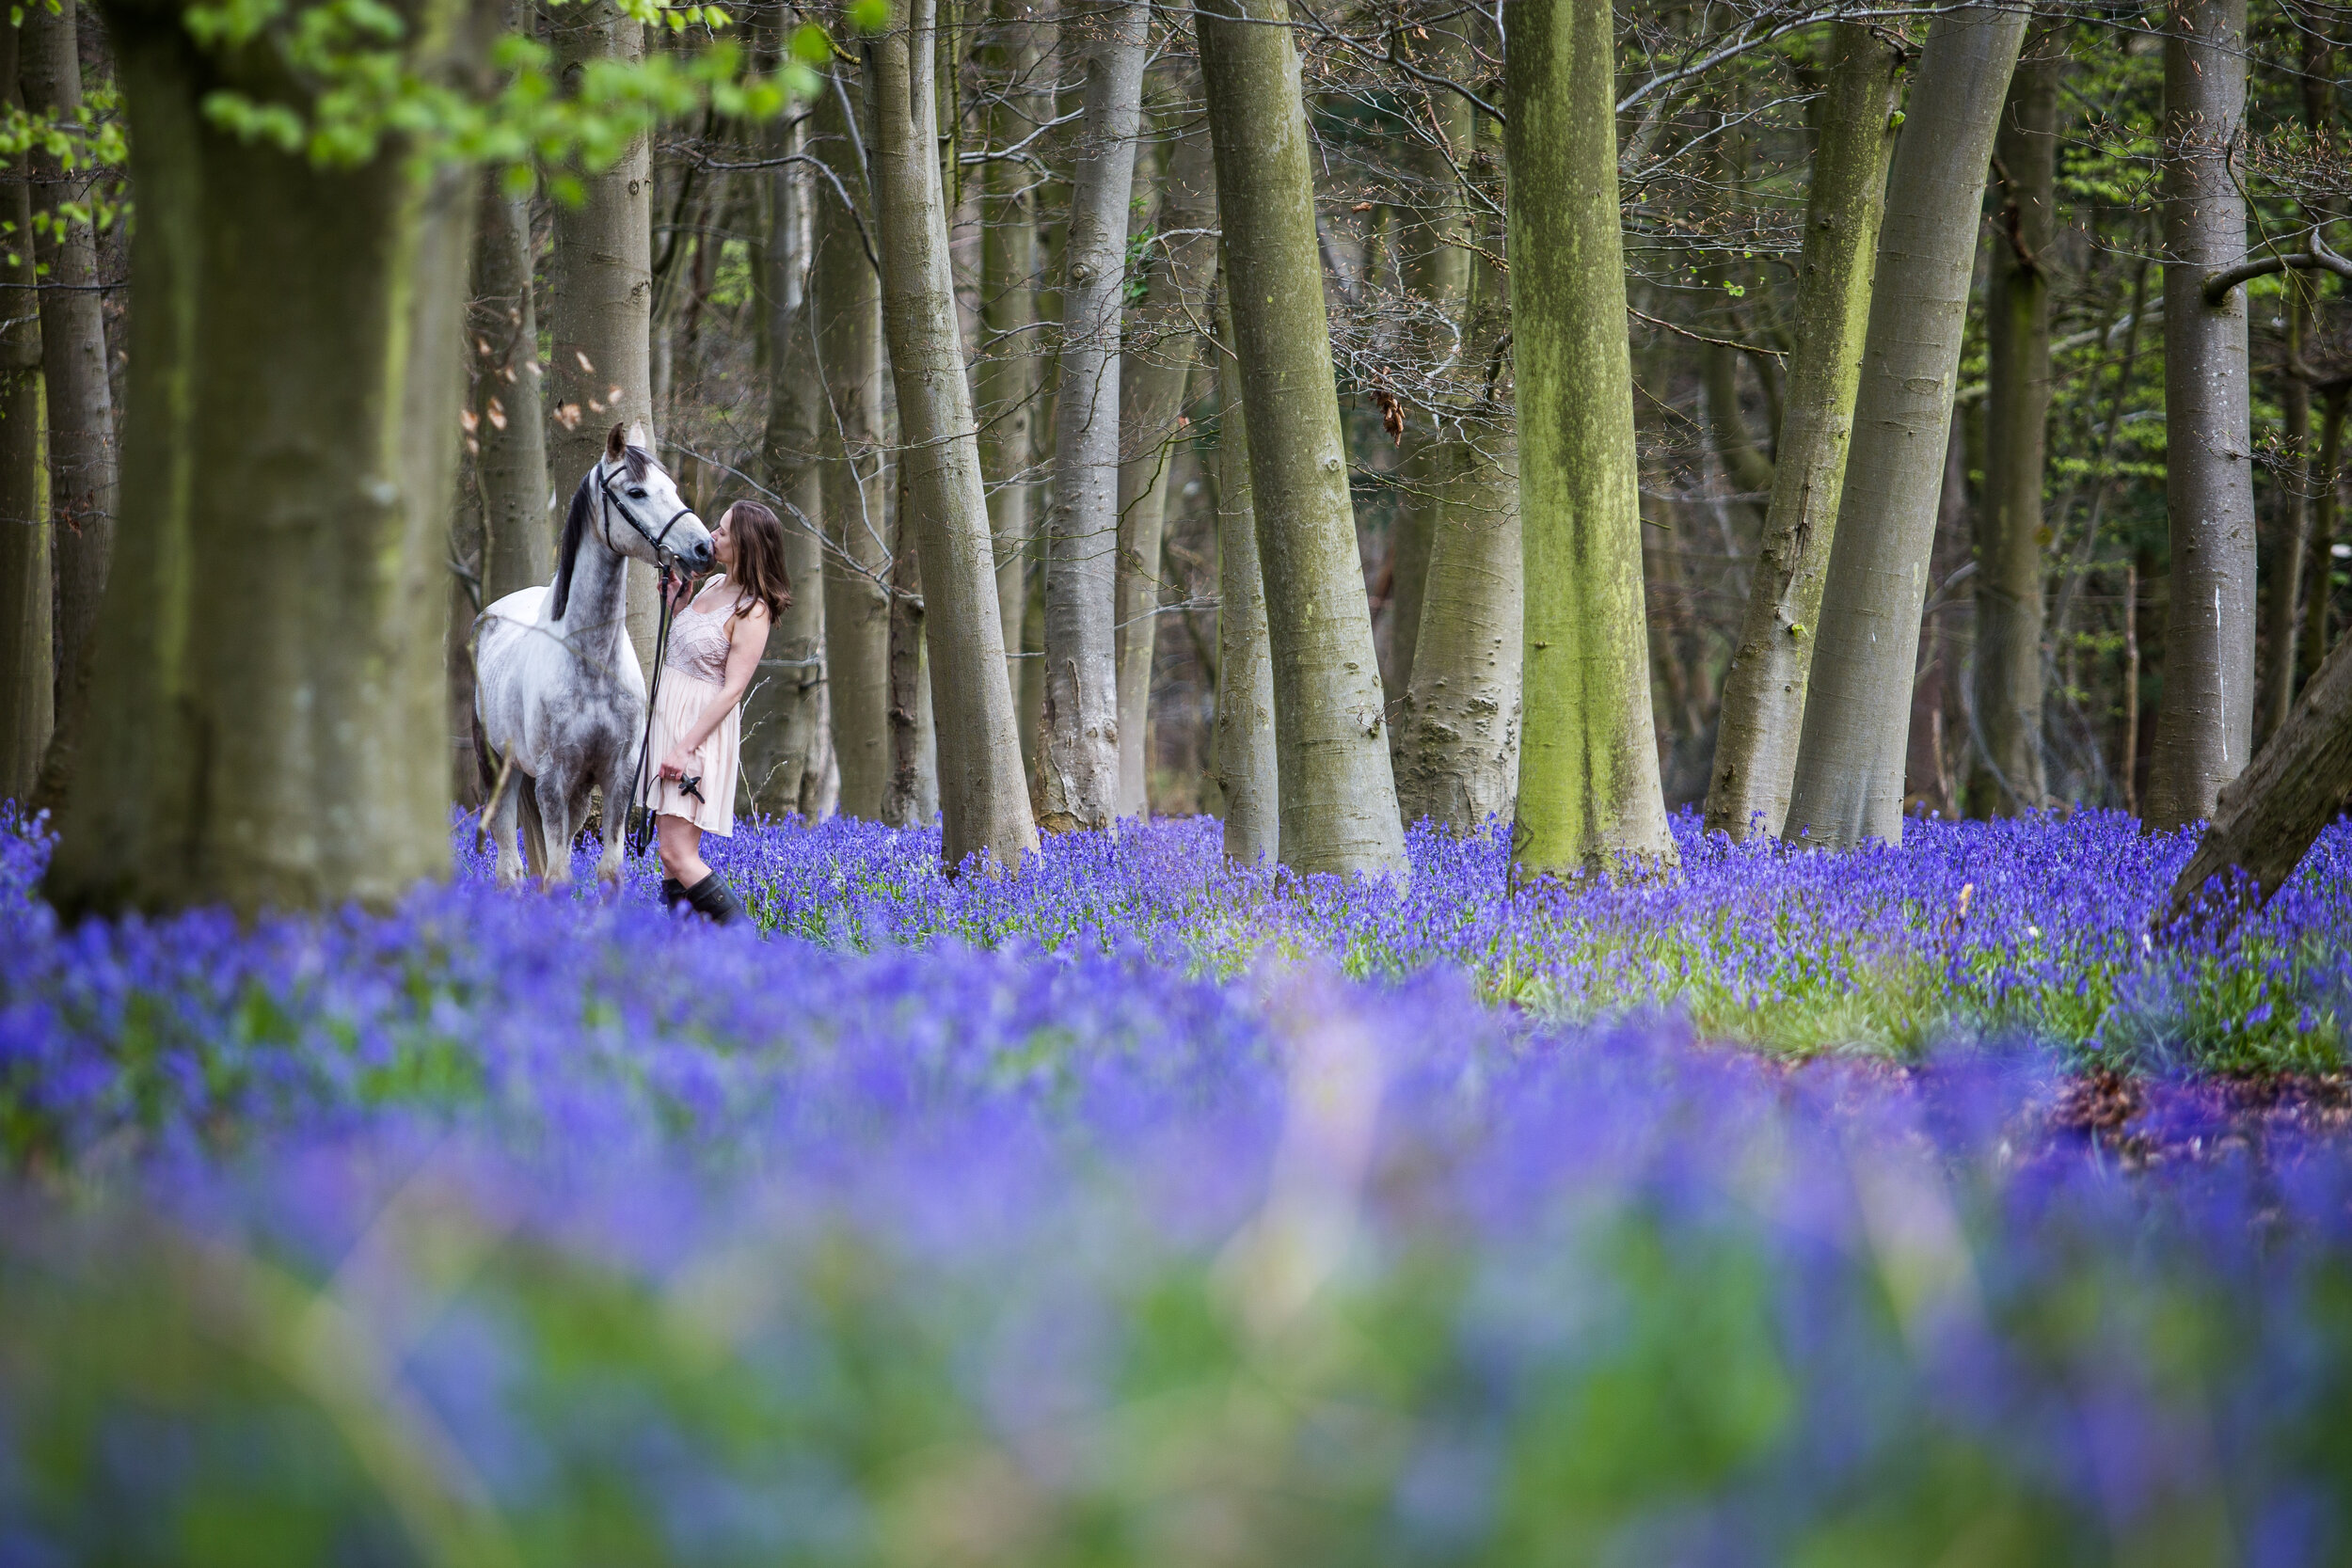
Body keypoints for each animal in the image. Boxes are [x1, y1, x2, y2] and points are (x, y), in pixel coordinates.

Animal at [468, 420, 706, 883]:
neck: (592, 663)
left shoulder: (617, 776)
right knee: (510, 870)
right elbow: (558, 875)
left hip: (577, 794)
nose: (703, 547)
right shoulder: (552, 781)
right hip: (500, 773)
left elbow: (609, 870)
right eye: (636, 492)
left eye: (671, 487)